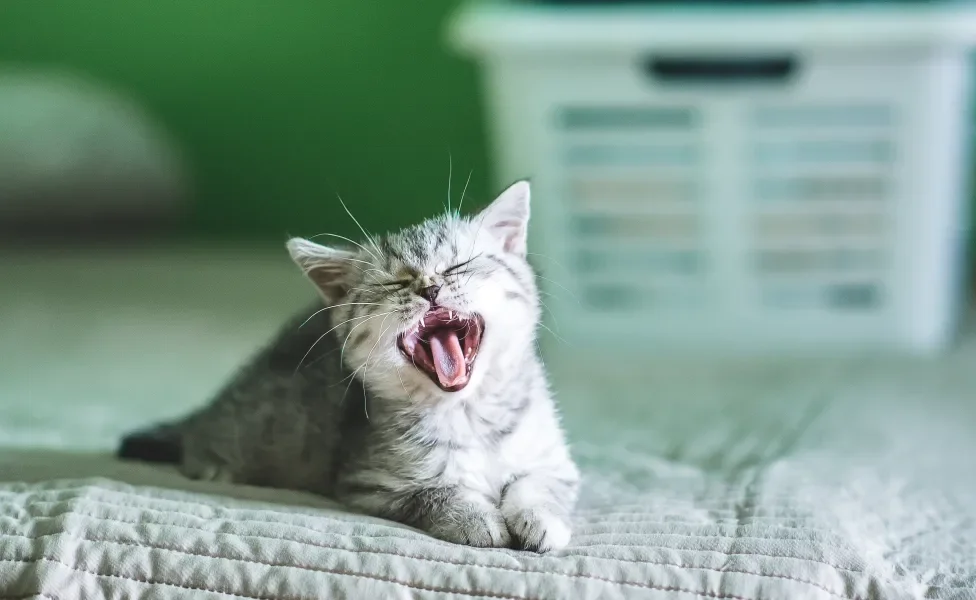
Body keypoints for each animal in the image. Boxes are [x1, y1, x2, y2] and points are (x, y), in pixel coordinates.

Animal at [120, 180, 580, 552]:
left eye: (456, 267)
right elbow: (438, 492)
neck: (468, 416)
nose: (430, 288)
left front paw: (541, 521)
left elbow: (537, 487)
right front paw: (476, 518)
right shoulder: (372, 484)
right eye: (395, 283)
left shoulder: (557, 464)